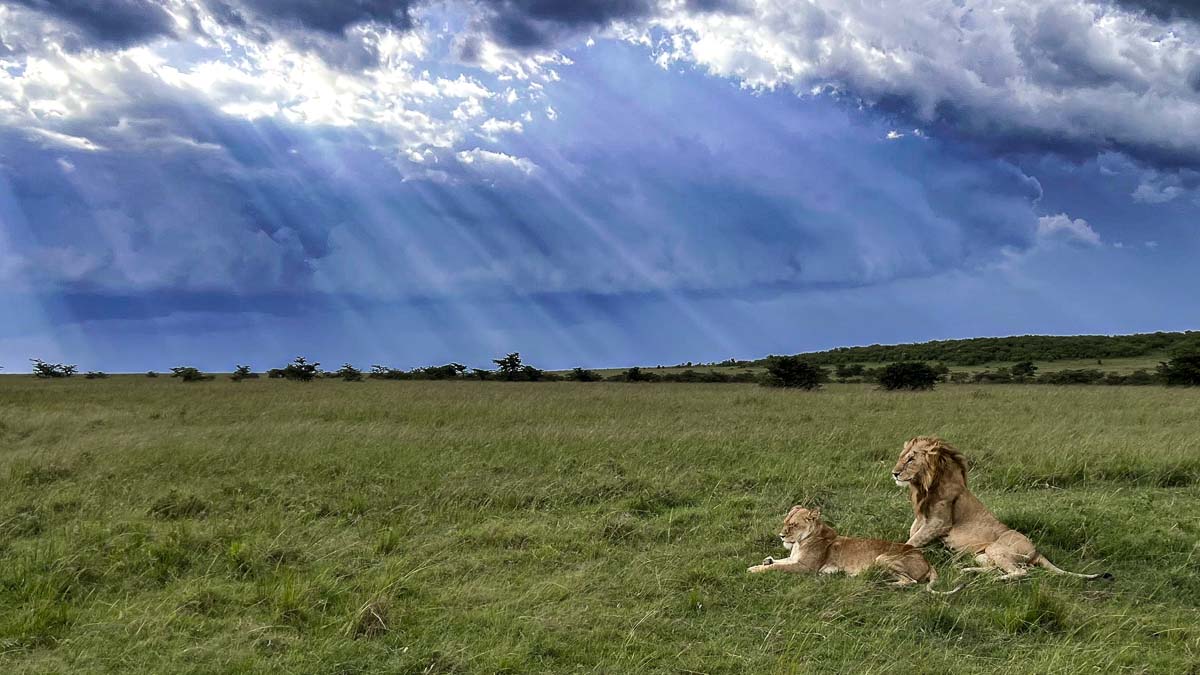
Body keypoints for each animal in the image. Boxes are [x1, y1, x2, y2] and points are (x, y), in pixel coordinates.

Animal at [744, 502, 960, 590]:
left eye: (794, 525)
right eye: (785, 522)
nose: (781, 535)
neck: (800, 542)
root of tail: (927, 560)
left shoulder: (805, 568)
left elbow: (777, 567)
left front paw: (754, 569)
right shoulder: (794, 559)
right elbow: (779, 561)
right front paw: (764, 561)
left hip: (882, 558)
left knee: (911, 582)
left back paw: (881, 584)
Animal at [892, 437, 1113, 578]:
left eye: (911, 458)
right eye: (902, 456)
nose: (894, 473)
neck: (924, 485)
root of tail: (1036, 551)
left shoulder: (940, 522)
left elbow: (910, 542)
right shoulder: (921, 521)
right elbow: (912, 534)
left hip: (997, 548)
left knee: (1021, 572)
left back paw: (996, 579)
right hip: (982, 555)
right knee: (1001, 568)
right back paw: (968, 571)